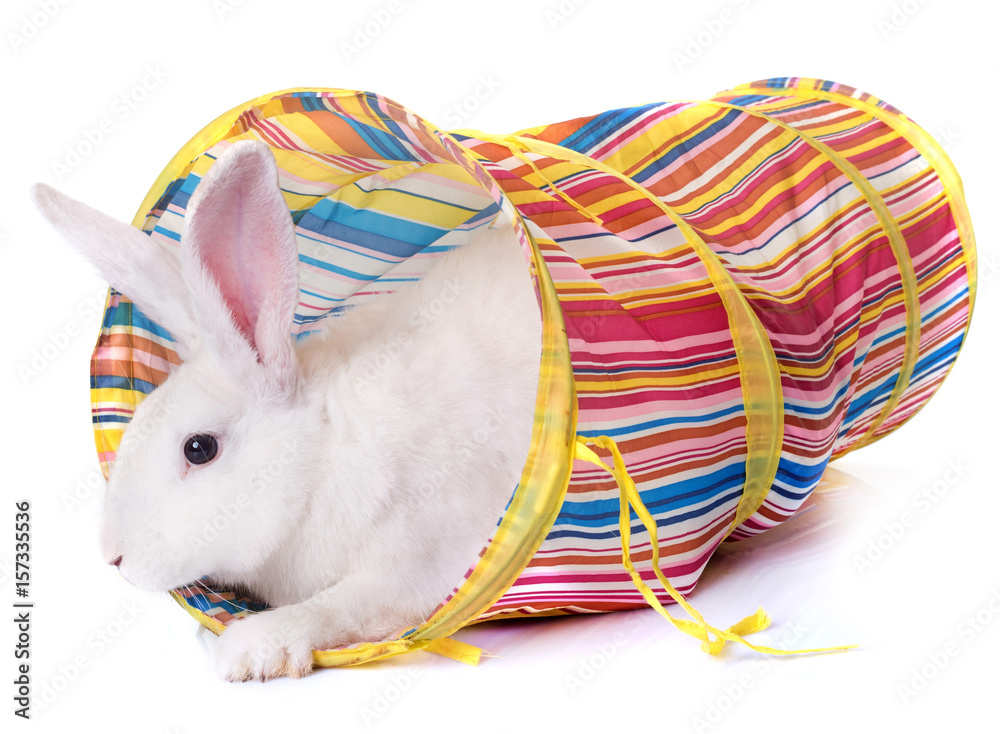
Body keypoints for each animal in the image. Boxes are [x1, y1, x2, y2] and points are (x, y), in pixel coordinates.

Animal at [31, 139, 542, 681]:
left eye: (199, 448)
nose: (114, 558)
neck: (321, 455)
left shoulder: (421, 559)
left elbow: (344, 607)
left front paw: (250, 649)